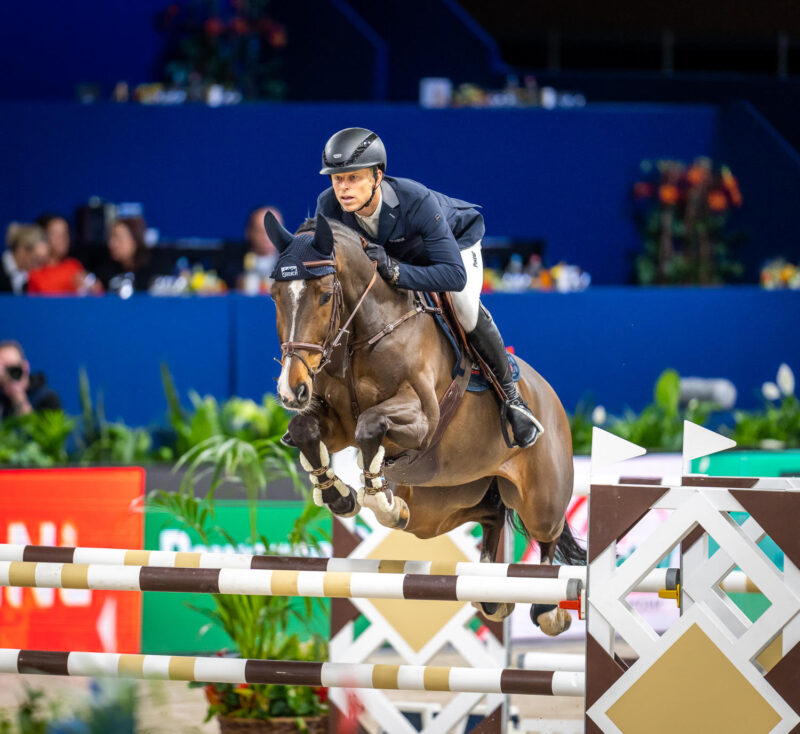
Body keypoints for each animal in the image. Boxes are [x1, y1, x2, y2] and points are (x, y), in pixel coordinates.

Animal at [268, 213, 580, 632]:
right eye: (274, 295)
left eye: (324, 295)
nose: (292, 390)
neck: (365, 333)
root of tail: (550, 396)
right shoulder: (335, 423)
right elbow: (307, 431)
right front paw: (341, 496)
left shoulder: (422, 421)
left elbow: (370, 426)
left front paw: (383, 502)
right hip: (445, 502)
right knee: (492, 515)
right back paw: (490, 595)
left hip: (540, 498)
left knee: (547, 536)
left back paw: (547, 609)